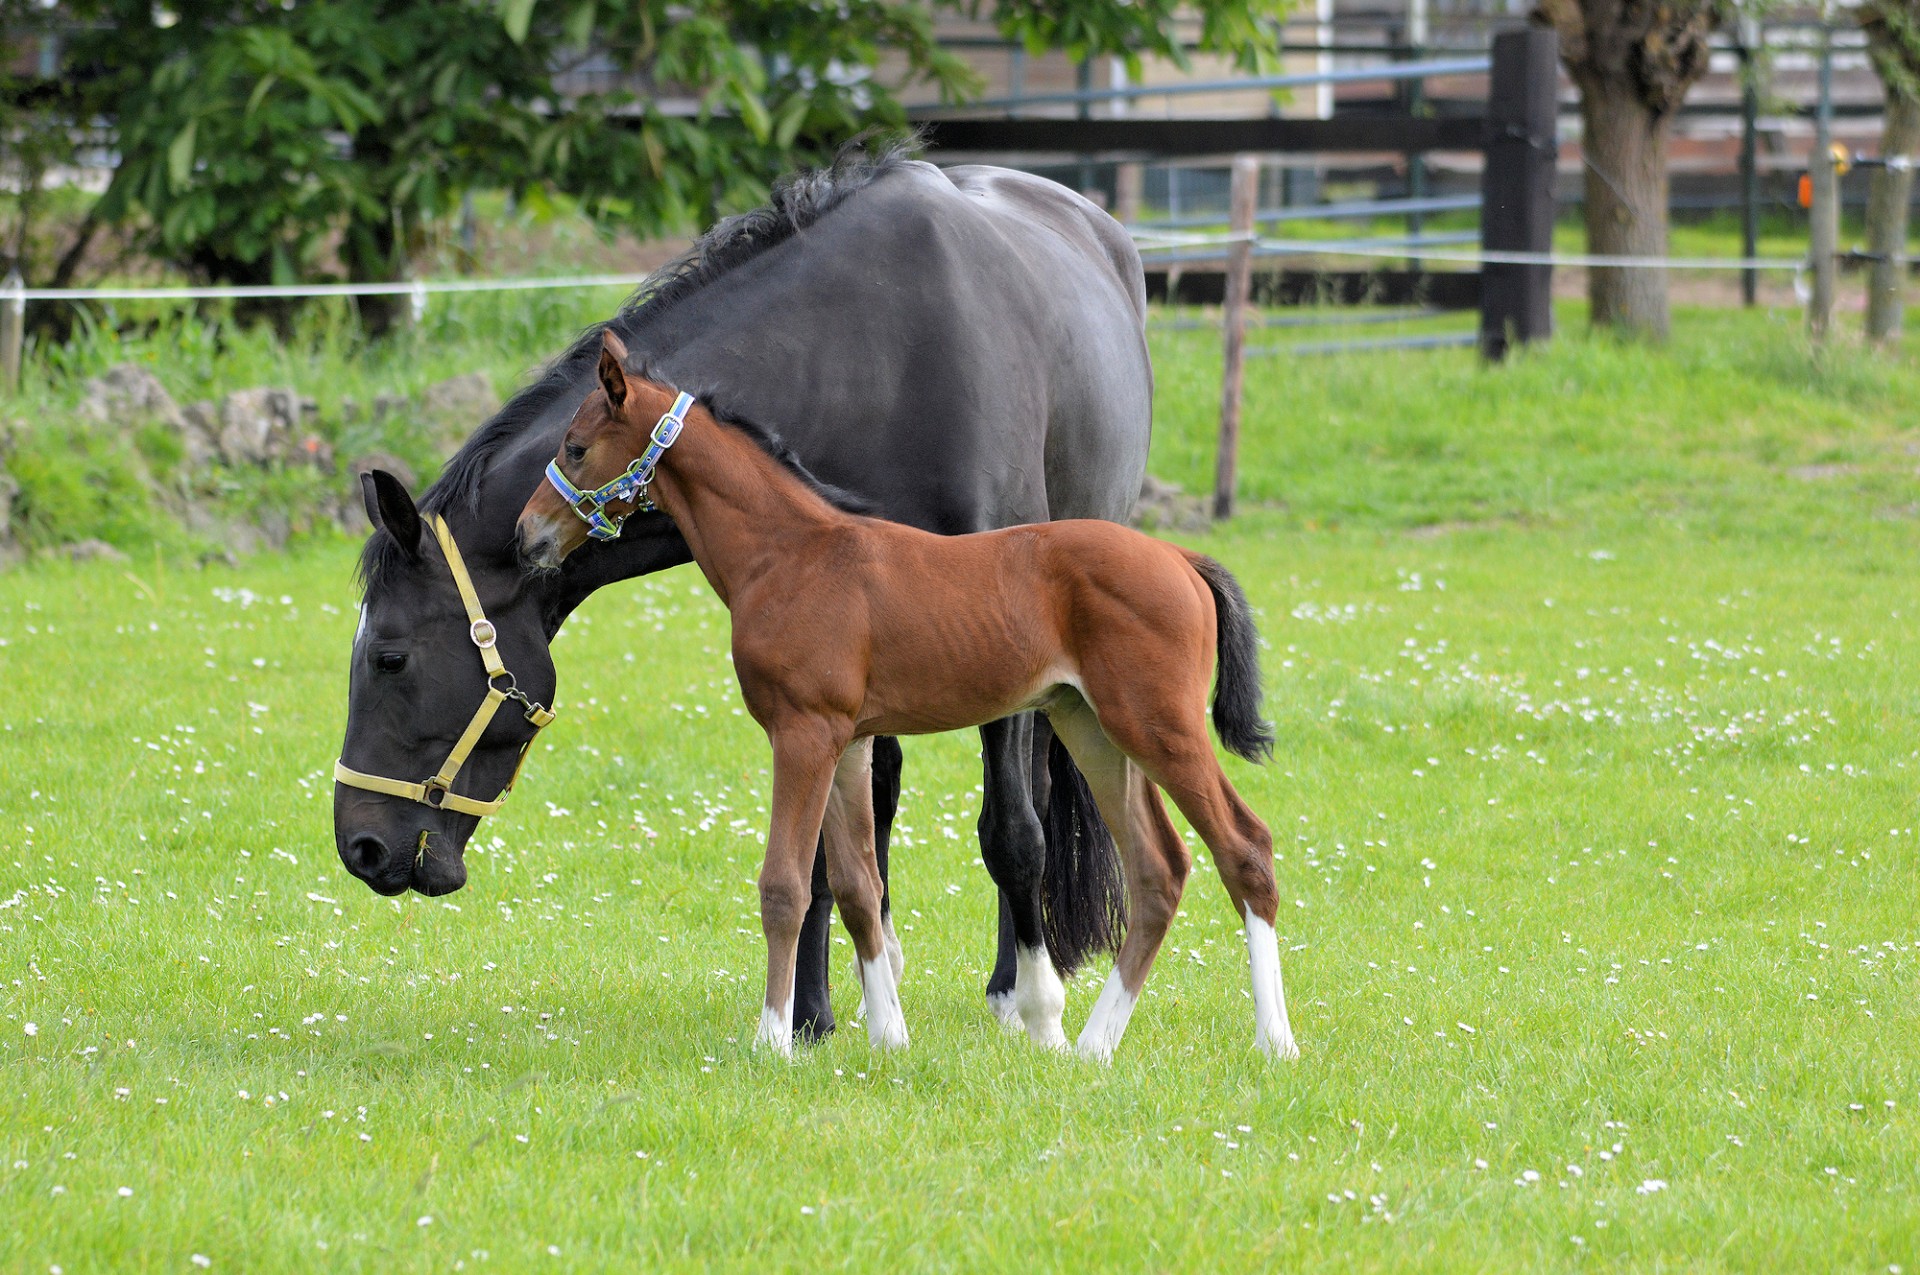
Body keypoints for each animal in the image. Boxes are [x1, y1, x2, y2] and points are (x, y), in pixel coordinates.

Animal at [332, 142, 1152, 1036]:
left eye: (390, 657)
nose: (359, 847)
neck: (868, 357)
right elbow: (826, 846)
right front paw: (813, 1013)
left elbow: (1011, 828)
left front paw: (1027, 1003)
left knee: (1028, 793)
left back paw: (1013, 982)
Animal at [514, 330, 1290, 1067]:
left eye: (575, 447)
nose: (527, 535)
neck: (788, 553)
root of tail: (1181, 559)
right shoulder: (850, 741)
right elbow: (859, 885)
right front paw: (889, 1036)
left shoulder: (803, 732)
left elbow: (786, 884)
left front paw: (772, 1041)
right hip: (1093, 729)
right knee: (1159, 871)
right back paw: (1093, 1047)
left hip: (1160, 725)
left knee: (1244, 847)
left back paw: (1274, 1041)